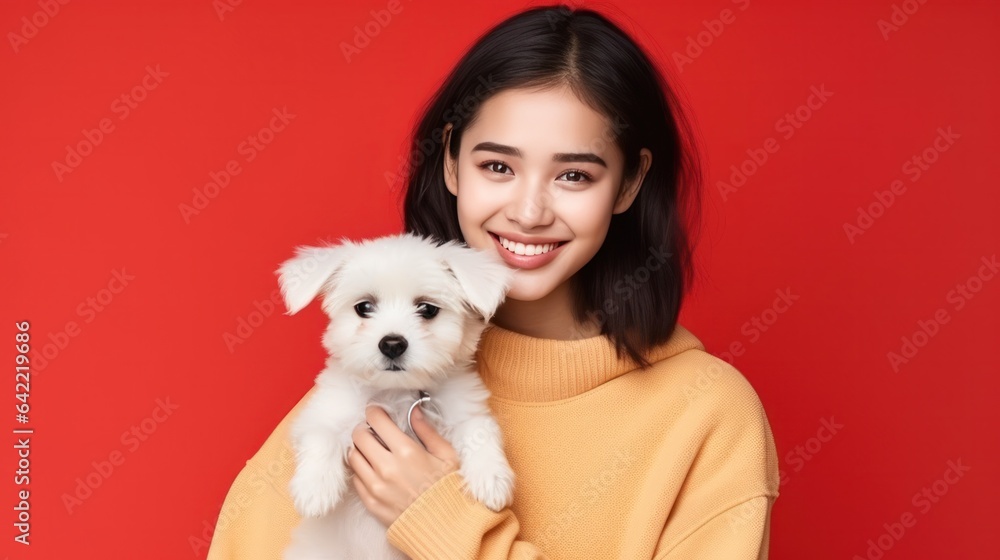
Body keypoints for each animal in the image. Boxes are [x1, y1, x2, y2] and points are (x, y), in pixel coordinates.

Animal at [280, 232, 520, 560]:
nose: (392, 343)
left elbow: (480, 430)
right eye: (364, 307)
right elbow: (320, 435)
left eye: (427, 309)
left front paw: (491, 478)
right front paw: (315, 488)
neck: (396, 391)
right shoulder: (325, 410)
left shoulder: (464, 407)